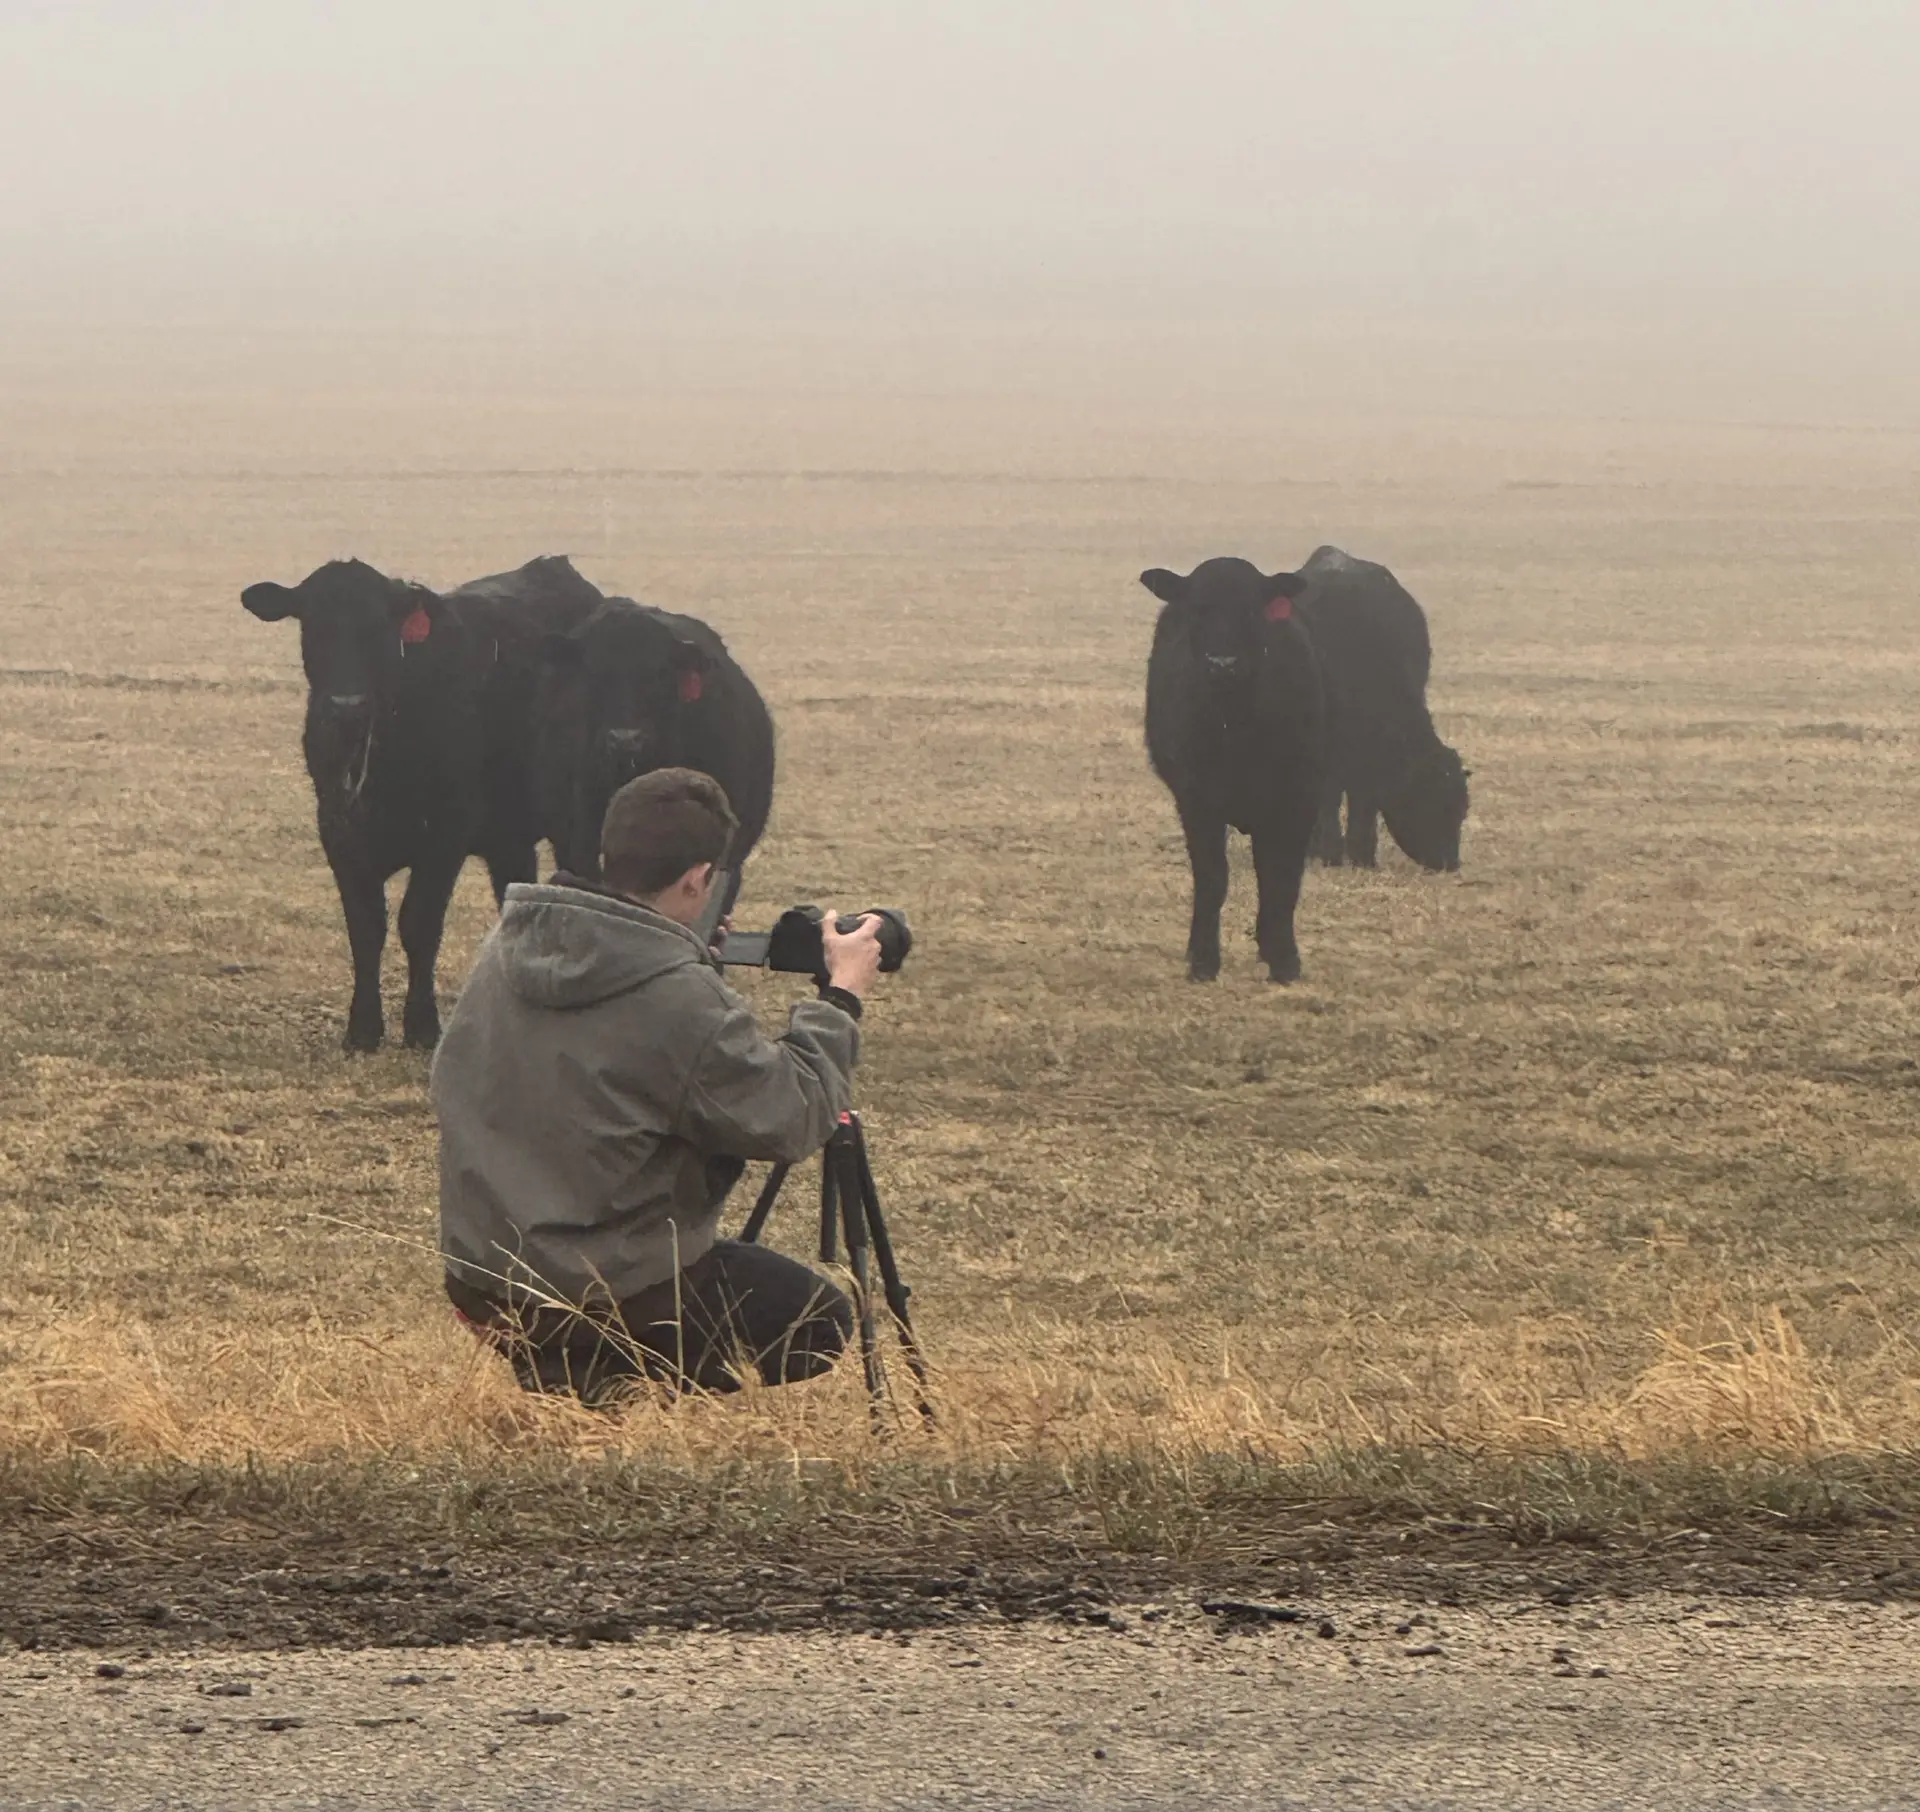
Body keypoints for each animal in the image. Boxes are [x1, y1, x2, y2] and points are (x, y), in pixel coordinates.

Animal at [241, 556, 601, 1050]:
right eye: (312, 624)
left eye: (379, 628)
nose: (346, 705)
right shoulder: (339, 833)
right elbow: (365, 928)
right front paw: (362, 1028)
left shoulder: (444, 837)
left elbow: (419, 924)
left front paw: (422, 1026)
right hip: (508, 836)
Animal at [1141, 557, 1324, 983]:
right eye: (1197, 610)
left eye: (1252, 611)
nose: (1222, 664)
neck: (1235, 728)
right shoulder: (1196, 801)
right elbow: (1211, 877)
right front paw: (1204, 961)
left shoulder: (1300, 797)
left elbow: (1282, 876)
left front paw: (1284, 959)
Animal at [1295, 546, 1470, 872]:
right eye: (1433, 802)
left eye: (1462, 807)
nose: (1450, 862)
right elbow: (1329, 798)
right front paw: (1330, 853)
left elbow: (1364, 799)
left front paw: (1362, 855)